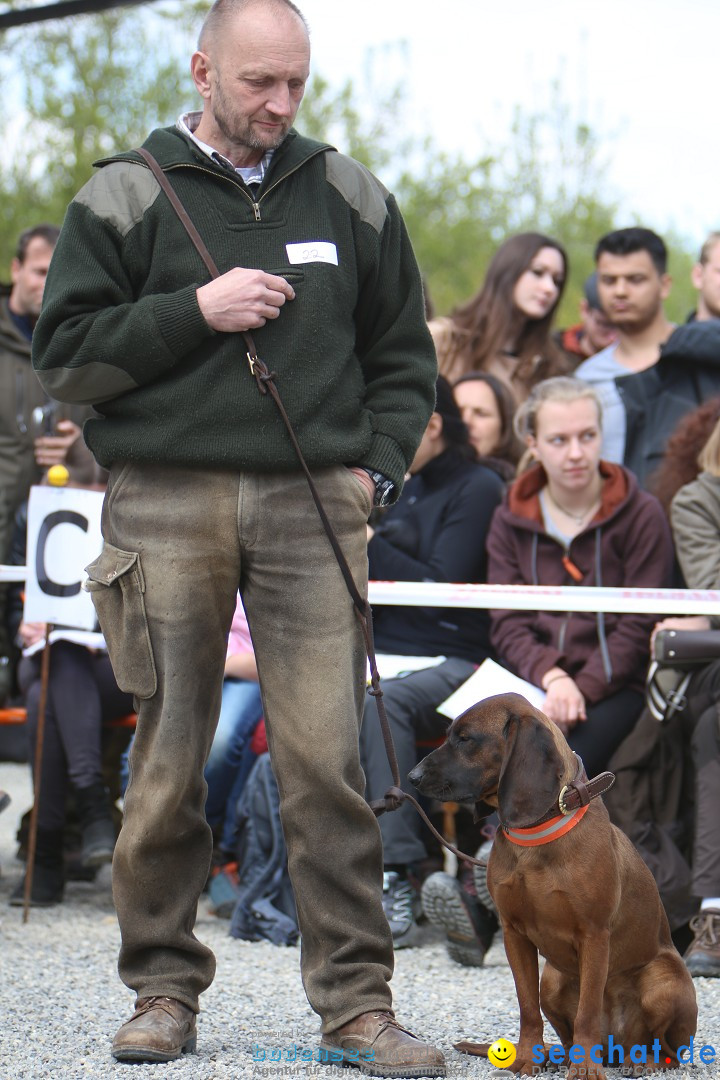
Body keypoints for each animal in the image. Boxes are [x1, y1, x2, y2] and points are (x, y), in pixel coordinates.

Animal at [410, 695, 699, 1075]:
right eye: (448, 735)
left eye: (466, 739)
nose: (412, 777)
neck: (535, 837)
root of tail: (616, 1047)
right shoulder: (514, 934)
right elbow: (527, 1008)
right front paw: (526, 1058)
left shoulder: (594, 935)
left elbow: (587, 1011)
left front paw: (586, 1070)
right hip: (552, 980)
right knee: (564, 1035)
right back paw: (558, 1056)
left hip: (663, 982)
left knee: (668, 1049)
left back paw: (643, 1061)